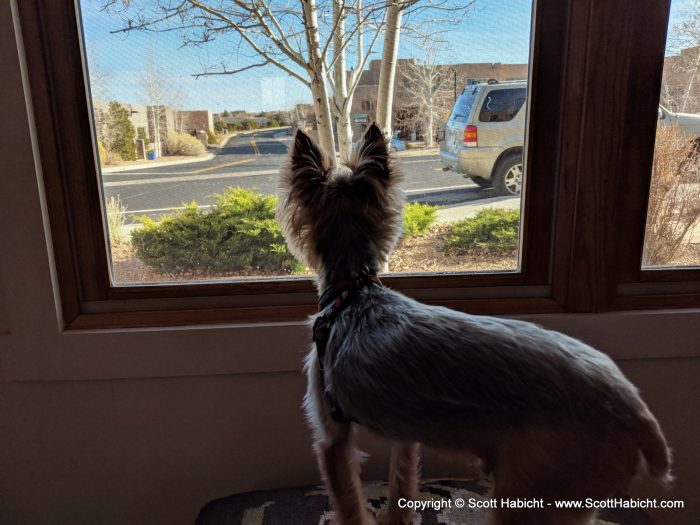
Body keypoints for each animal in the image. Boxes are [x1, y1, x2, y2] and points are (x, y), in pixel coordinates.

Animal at [276, 124, 668, 524]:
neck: (352, 289)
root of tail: (638, 416)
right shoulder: (407, 436)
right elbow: (401, 484)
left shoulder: (332, 438)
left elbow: (349, 504)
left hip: (534, 494)